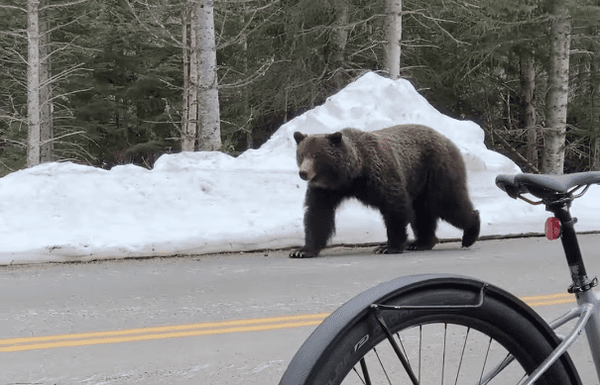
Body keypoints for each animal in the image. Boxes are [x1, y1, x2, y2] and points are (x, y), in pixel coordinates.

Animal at [288, 124, 480, 258]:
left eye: (316, 156)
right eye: (301, 155)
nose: (303, 173)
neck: (351, 176)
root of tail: (447, 139)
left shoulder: (380, 176)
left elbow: (394, 207)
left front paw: (387, 247)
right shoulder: (325, 190)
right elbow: (318, 214)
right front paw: (302, 251)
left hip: (436, 170)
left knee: (448, 203)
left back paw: (470, 233)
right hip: (420, 182)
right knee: (423, 212)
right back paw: (421, 242)